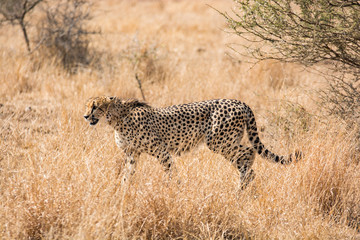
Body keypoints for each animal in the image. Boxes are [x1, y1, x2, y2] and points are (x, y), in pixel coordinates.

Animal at [84, 96, 300, 187]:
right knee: (246, 159)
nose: (86, 116)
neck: (116, 118)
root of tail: (239, 101)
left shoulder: (161, 150)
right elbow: (127, 174)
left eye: (95, 106)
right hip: (225, 142)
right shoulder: (132, 154)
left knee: (249, 151)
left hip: (219, 141)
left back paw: (242, 184)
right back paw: (245, 183)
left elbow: (170, 170)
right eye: (87, 105)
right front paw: (122, 191)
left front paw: (176, 189)